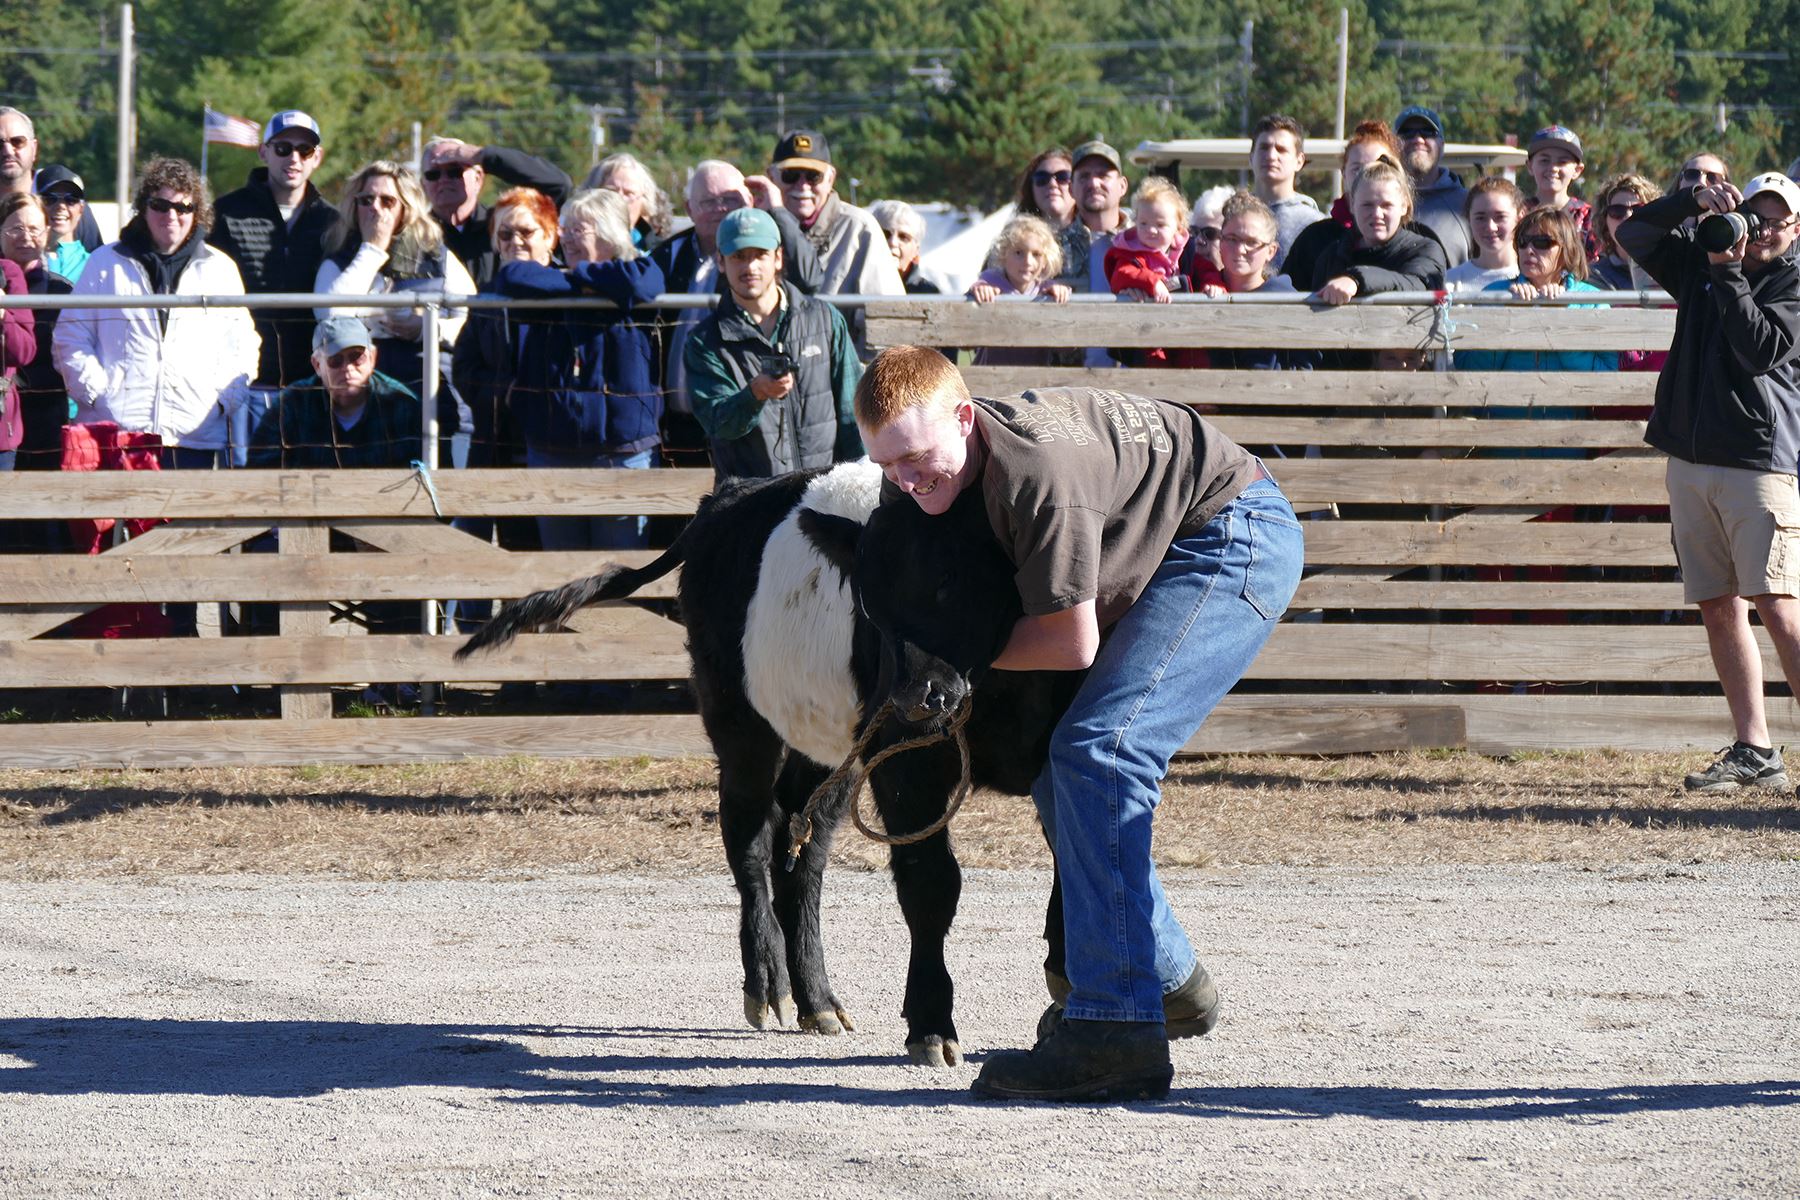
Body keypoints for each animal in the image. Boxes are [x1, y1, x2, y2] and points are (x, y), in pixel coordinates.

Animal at [458, 460, 1082, 1066]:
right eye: (870, 600)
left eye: (953, 577)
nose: (914, 694)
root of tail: (727, 496)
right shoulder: (905, 759)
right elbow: (930, 883)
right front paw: (931, 1027)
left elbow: (1075, 854)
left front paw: (1064, 982)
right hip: (739, 720)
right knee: (751, 838)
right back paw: (769, 984)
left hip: (826, 745)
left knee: (801, 849)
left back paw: (819, 1002)